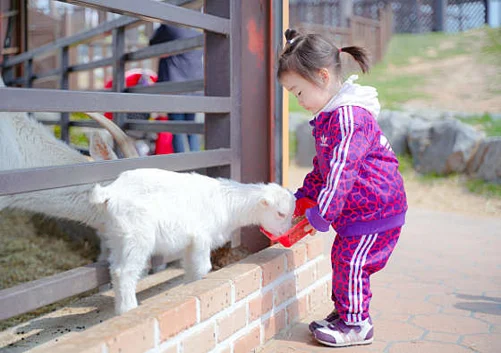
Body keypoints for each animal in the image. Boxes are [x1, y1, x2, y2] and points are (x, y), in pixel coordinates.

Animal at [90, 168, 294, 314]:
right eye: (280, 213)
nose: (285, 232)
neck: (227, 202)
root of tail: (110, 192)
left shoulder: (190, 244)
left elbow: (189, 267)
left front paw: (190, 287)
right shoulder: (201, 238)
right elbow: (203, 267)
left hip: (118, 237)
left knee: (115, 270)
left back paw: (120, 309)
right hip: (136, 236)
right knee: (125, 271)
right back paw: (129, 307)